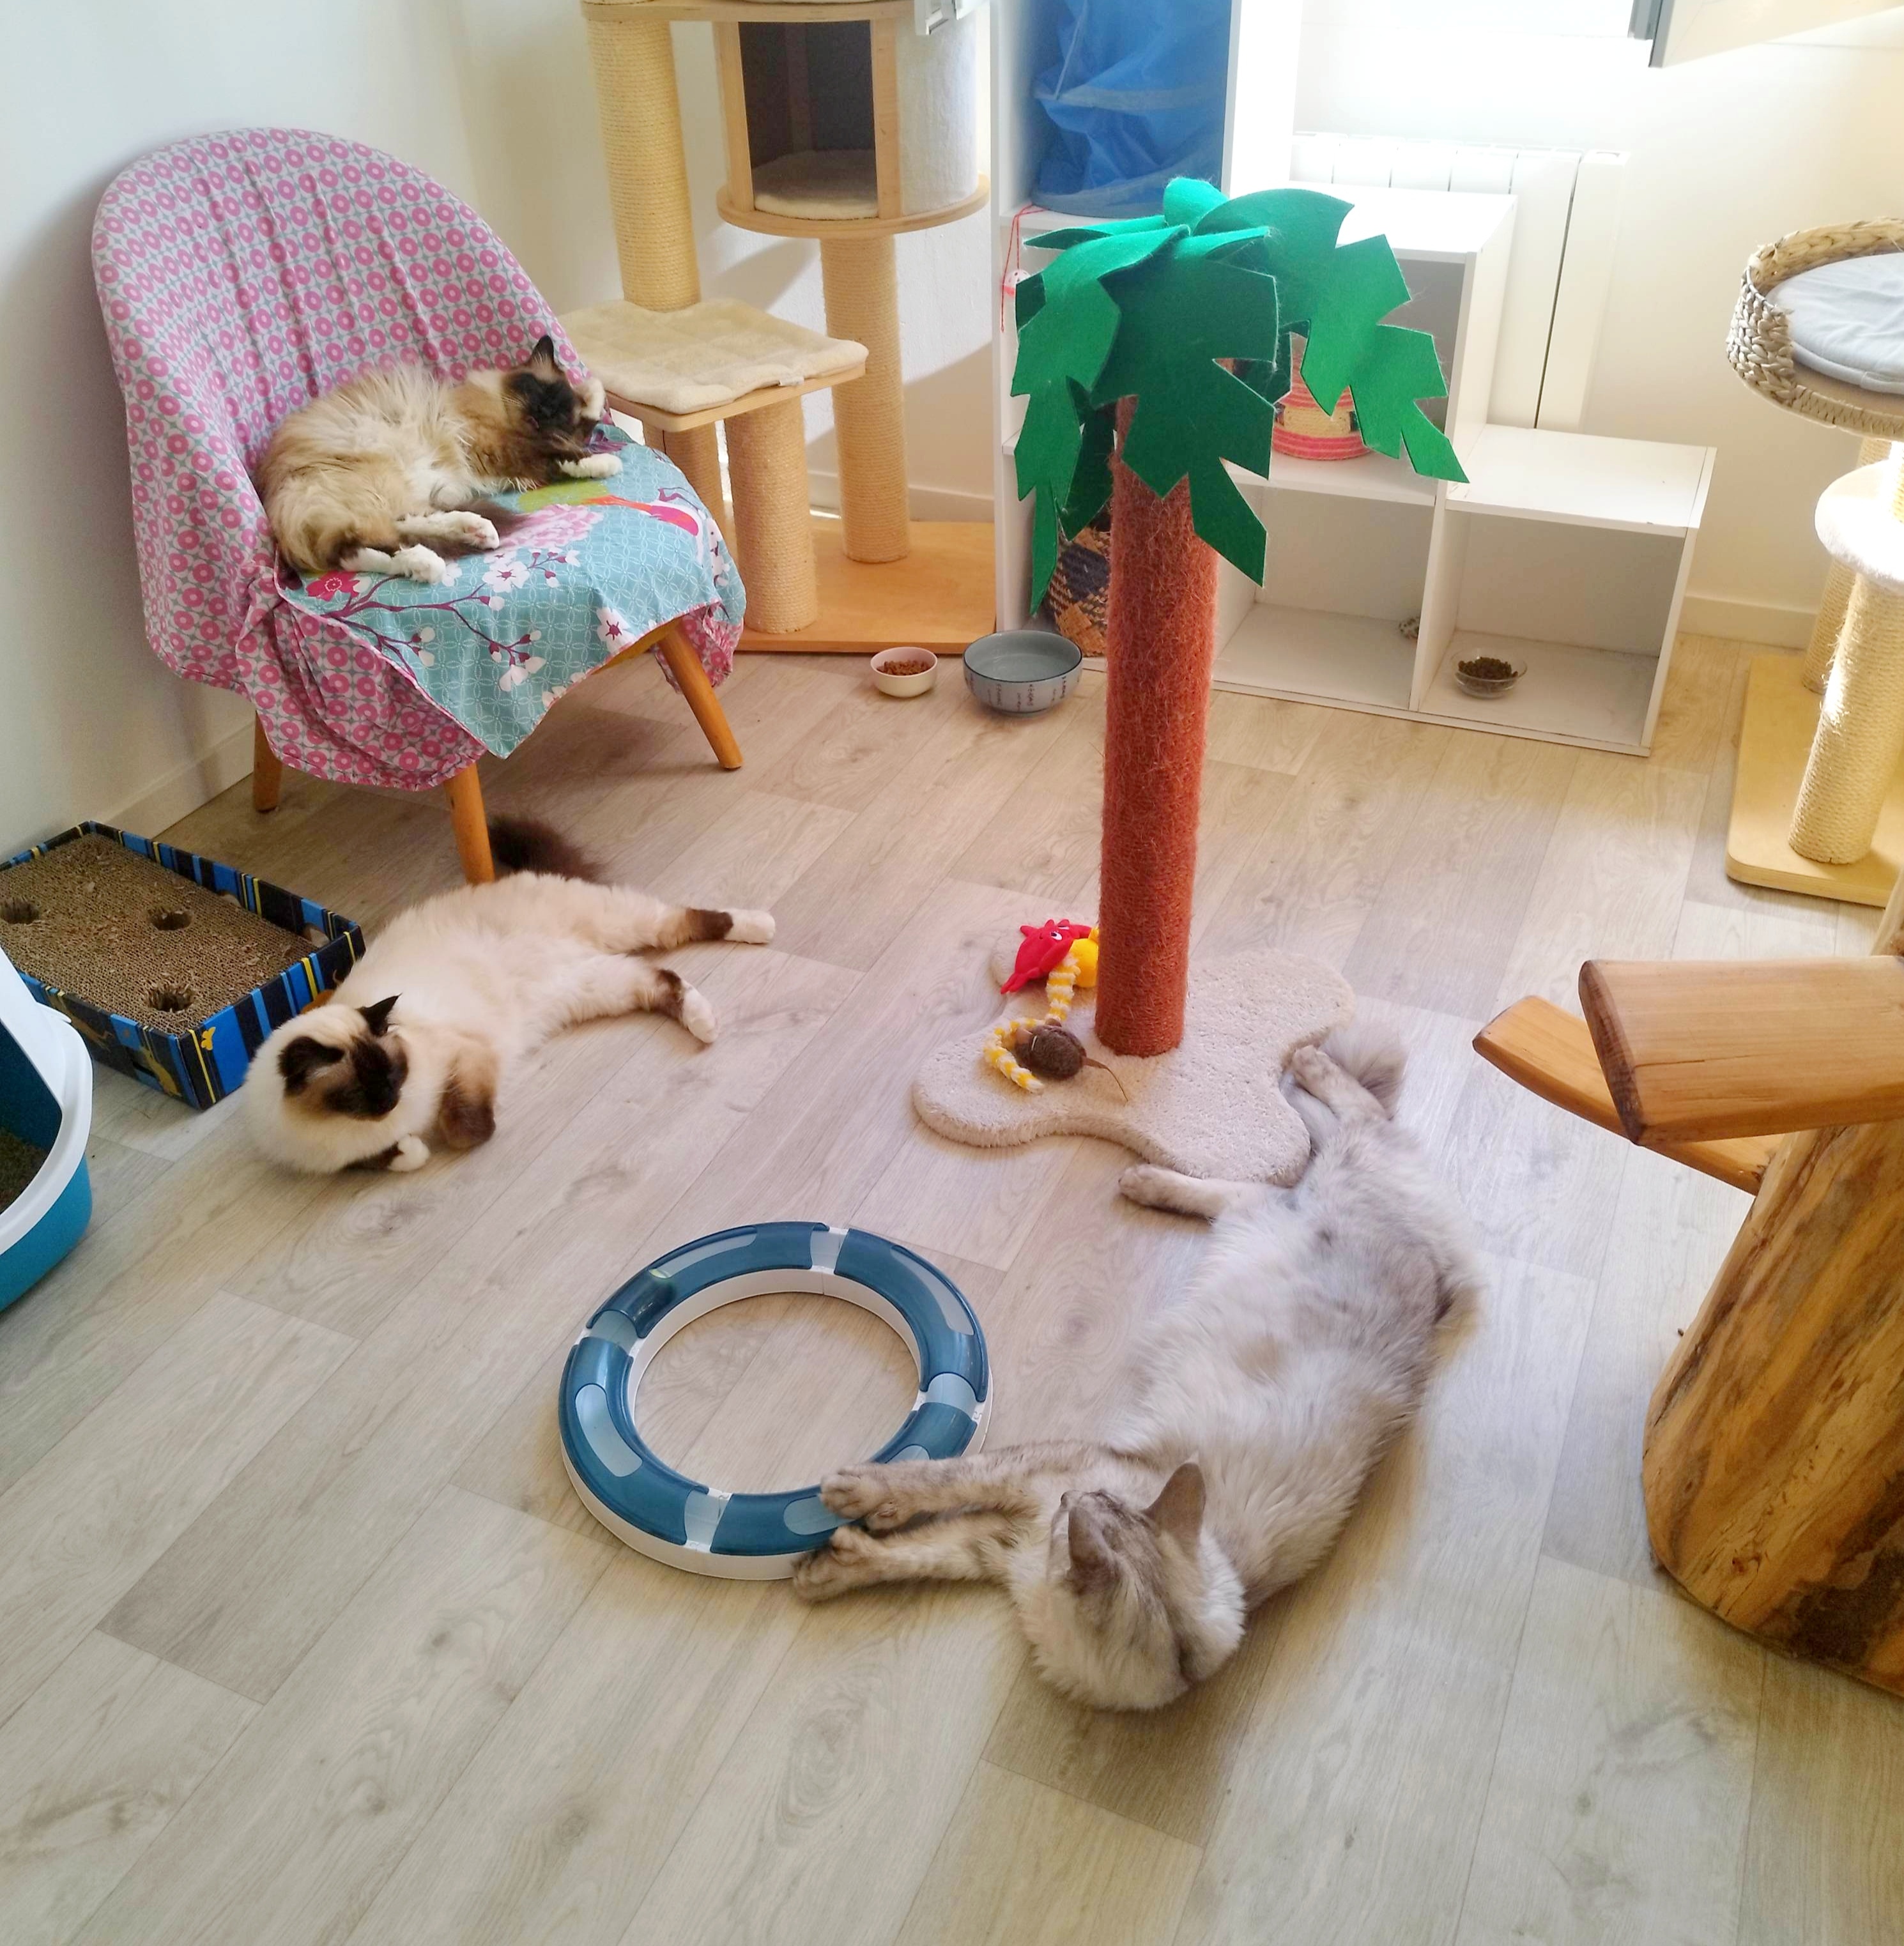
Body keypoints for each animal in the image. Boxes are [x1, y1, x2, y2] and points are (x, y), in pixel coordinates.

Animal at [241, 818, 774, 1176]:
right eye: (360, 1092)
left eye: (392, 1075)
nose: (390, 1100)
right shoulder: (339, 1158)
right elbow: (385, 1158)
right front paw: (410, 1151)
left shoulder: (466, 1057)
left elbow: (463, 1130)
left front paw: (438, 1138)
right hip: (593, 984)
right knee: (664, 977)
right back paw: (706, 1024)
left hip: (624, 924)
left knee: (687, 920)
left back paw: (761, 929)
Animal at [258, 335, 621, 584]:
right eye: (538, 392)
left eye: (558, 411)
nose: (544, 413)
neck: (501, 409)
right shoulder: (506, 447)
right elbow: (567, 449)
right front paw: (605, 462)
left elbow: (586, 420)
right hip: (381, 482)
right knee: (364, 546)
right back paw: (430, 561)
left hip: (398, 494)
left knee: (377, 539)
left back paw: (475, 532)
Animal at [793, 1027, 1480, 1711]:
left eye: (1084, 1509)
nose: (1073, 1500)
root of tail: (1442, 1275)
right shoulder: (1036, 1482)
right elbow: (937, 1488)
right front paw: (853, 1520)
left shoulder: (1012, 1531)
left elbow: (930, 1534)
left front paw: (839, 1545)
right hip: (1306, 1191)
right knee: (1335, 1127)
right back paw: (1185, 1150)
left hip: (1293, 1204)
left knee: (1327, 1140)